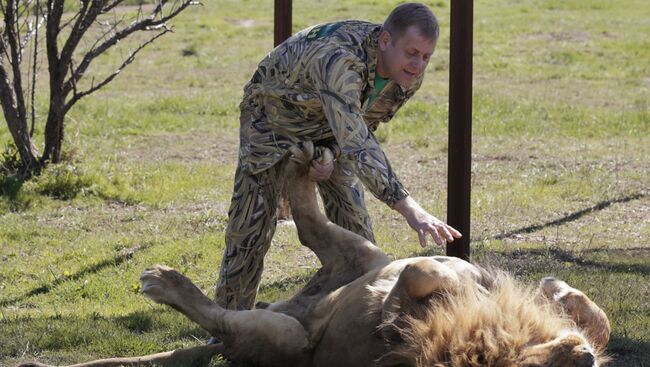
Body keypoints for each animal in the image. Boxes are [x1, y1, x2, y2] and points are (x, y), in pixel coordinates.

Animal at [19, 142, 608, 366]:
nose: (580, 357)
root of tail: (290, 305)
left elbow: (417, 282)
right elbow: (582, 310)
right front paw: (561, 294)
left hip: (285, 338)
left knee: (224, 314)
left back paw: (163, 281)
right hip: (359, 253)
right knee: (305, 221)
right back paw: (304, 163)